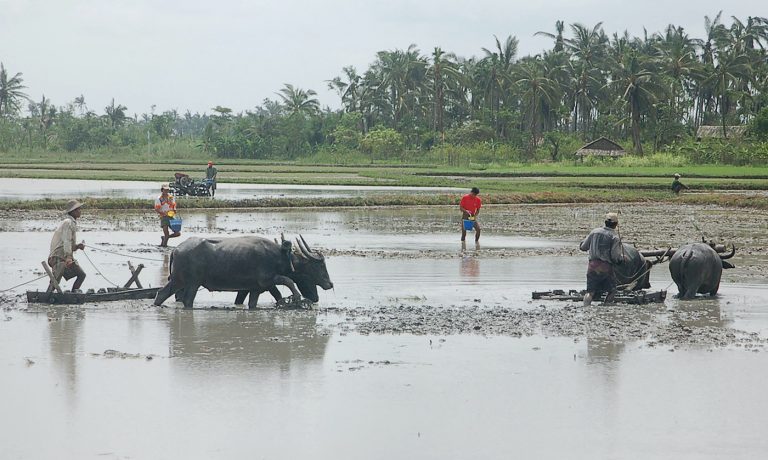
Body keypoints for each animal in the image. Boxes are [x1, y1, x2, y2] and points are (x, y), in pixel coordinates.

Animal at [156, 235, 332, 308]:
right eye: (319, 266)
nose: (330, 284)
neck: (280, 256)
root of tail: (177, 249)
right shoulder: (266, 280)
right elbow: (287, 281)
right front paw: (296, 297)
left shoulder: (255, 288)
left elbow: (254, 303)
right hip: (191, 283)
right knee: (186, 300)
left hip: (178, 282)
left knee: (161, 294)